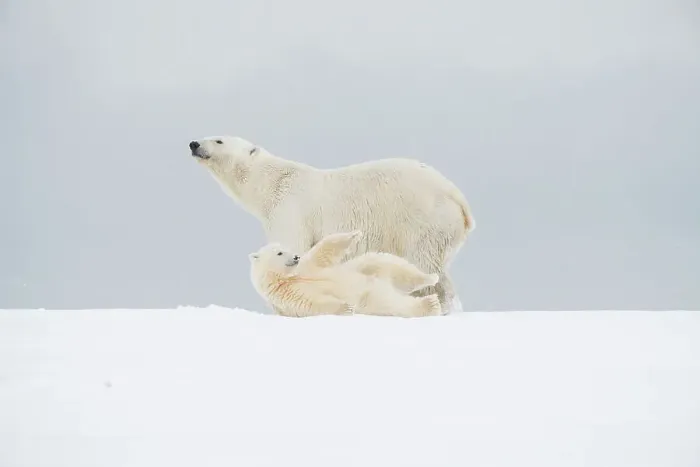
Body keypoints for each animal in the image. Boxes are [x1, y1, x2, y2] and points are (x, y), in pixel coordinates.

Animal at [248, 230, 443, 318]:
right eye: (279, 253)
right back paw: (431, 304)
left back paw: (430, 277)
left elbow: (321, 253)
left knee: (390, 264)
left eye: (287, 249)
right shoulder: (285, 294)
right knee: (393, 303)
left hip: (366, 268)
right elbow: (311, 302)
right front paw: (346, 307)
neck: (289, 277)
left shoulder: (308, 267)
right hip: (370, 297)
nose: (296, 256)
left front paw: (354, 234)